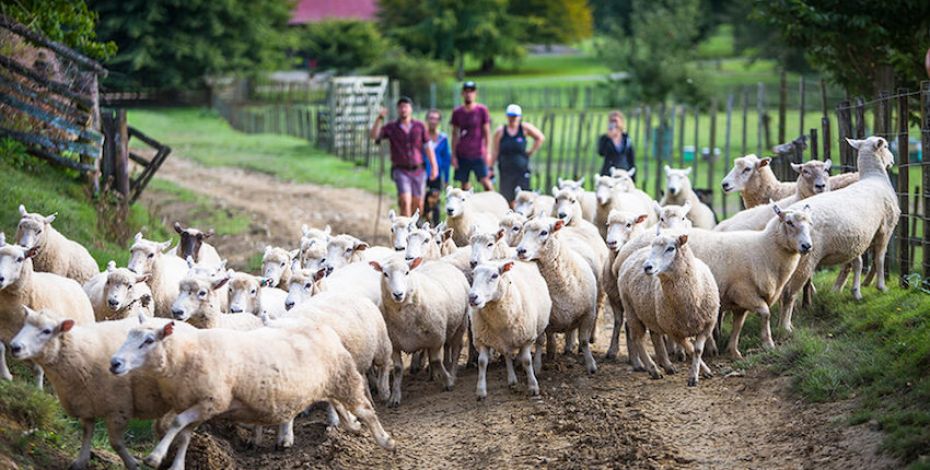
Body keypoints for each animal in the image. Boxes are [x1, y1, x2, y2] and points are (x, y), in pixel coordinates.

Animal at [0, 235, 94, 386]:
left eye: (20, 259)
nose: (0, 278)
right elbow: (1, 349)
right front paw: (6, 375)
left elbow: (39, 368)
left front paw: (38, 389)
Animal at [110, 318, 394, 468]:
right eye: (128, 336)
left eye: (148, 341)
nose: (115, 363)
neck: (185, 353)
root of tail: (323, 329)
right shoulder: (197, 404)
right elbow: (183, 433)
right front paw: (176, 462)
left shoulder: (212, 400)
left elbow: (178, 424)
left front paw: (155, 457)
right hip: (330, 383)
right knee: (342, 407)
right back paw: (353, 427)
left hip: (344, 378)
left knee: (366, 410)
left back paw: (385, 440)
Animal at [368, 255, 468, 406]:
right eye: (385, 274)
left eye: (407, 272)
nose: (398, 294)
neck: (404, 320)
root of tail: (439, 262)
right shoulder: (394, 344)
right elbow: (398, 369)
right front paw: (395, 397)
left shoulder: (436, 338)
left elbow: (435, 361)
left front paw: (448, 382)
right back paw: (435, 374)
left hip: (460, 324)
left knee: (456, 349)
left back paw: (452, 373)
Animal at [468, 258, 548, 398]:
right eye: (473, 274)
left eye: (495, 275)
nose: (472, 297)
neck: (499, 322)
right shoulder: (482, 339)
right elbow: (482, 362)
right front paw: (481, 391)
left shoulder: (527, 338)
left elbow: (527, 361)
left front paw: (533, 387)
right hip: (504, 339)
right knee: (507, 355)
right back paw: (512, 380)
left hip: (539, 327)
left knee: (539, 342)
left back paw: (537, 367)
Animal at [512, 218, 600, 374]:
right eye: (524, 231)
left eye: (544, 232)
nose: (520, 251)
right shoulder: (543, 319)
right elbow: (540, 341)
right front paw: (537, 365)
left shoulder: (589, 314)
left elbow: (584, 341)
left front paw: (591, 365)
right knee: (551, 337)